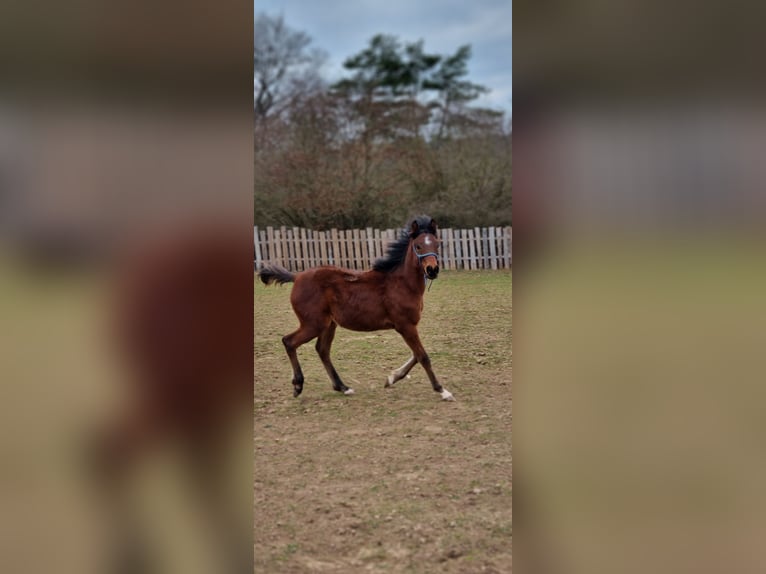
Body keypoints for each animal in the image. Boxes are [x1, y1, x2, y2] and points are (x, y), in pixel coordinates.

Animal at [258, 215, 456, 400]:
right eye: (418, 246)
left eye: (437, 245)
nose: (432, 270)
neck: (402, 283)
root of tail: (297, 277)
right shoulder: (405, 326)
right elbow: (423, 356)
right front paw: (442, 390)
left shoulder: (409, 326)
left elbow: (416, 354)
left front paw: (392, 378)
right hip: (313, 324)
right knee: (289, 341)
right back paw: (298, 385)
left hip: (328, 324)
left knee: (322, 350)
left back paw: (343, 387)